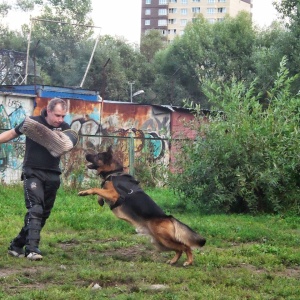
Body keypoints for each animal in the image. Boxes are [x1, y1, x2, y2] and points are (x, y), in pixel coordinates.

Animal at [78, 146, 206, 266]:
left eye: (97, 155)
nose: (86, 154)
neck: (114, 173)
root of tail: (168, 217)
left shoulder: (114, 195)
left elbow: (96, 188)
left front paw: (84, 192)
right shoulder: (108, 192)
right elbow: (100, 190)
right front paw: (100, 200)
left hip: (164, 239)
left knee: (185, 246)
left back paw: (189, 261)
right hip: (160, 242)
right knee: (179, 249)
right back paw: (173, 261)